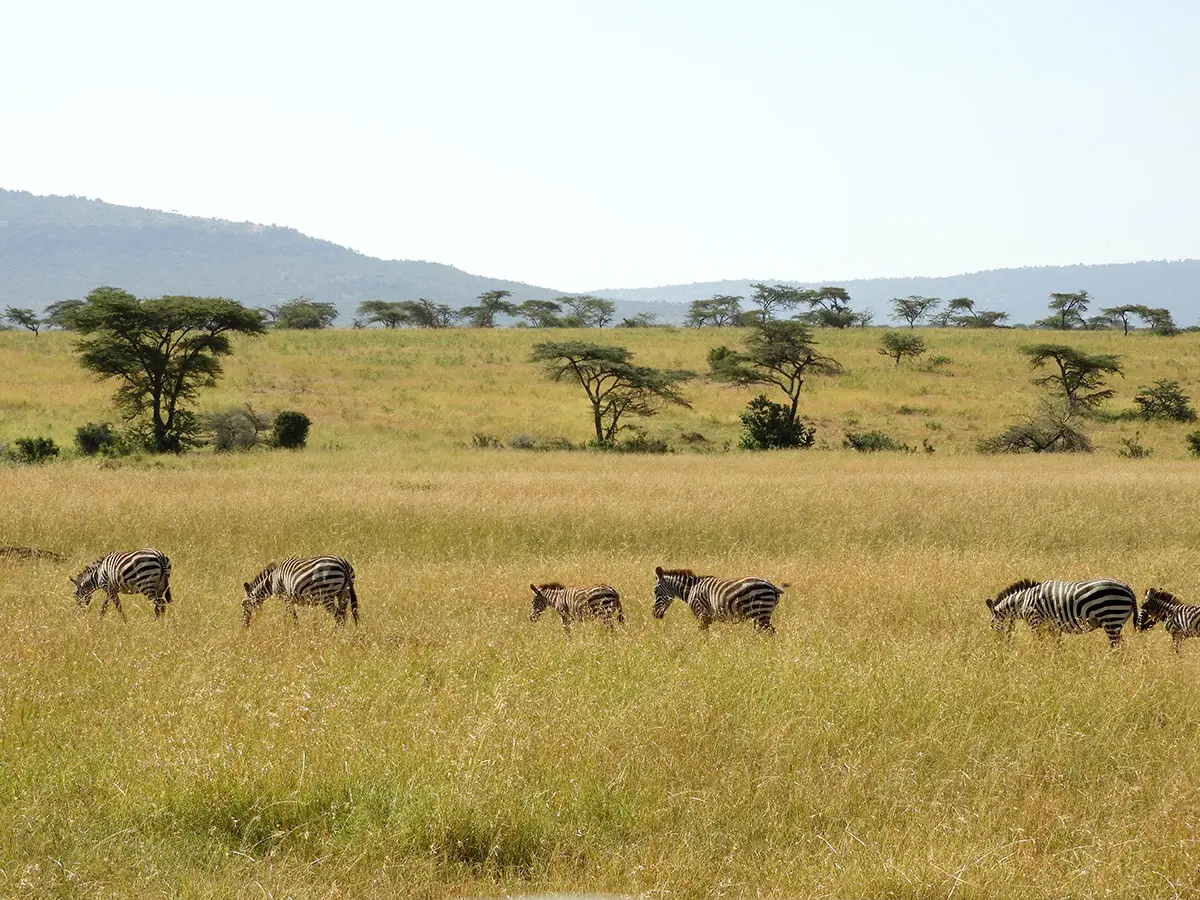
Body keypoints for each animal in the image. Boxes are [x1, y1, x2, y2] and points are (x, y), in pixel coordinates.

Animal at [652, 566, 785, 634]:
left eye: (655, 591)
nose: (654, 614)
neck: (692, 589)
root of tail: (772, 586)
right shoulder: (707, 618)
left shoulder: (701, 614)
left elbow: (703, 635)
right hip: (761, 614)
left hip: (760, 611)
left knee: (770, 632)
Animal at [985, 578, 1136, 647]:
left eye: (991, 625)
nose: (998, 644)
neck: (1023, 601)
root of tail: (1128, 589)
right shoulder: (1053, 626)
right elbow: (1058, 645)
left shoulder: (1035, 622)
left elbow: (1038, 643)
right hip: (1116, 622)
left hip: (1111, 617)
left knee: (1116, 646)